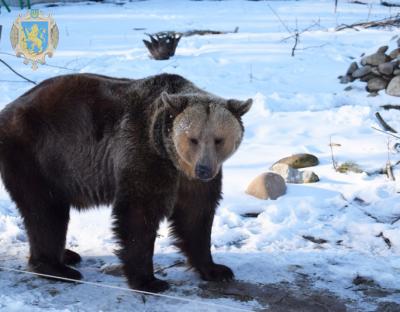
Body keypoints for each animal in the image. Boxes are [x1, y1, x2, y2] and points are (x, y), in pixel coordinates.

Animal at [0, 73, 252, 292]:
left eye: (219, 140)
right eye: (193, 139)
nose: (204, 169)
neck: (174, 160)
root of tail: (6, 110)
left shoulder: (192, 180)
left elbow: (195, 217)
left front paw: (217, 269)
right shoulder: (144, 153)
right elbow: (138, 214)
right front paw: (149, 280)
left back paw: (68, 255)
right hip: (37, 156)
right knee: (45, 211)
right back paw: (56, 267)